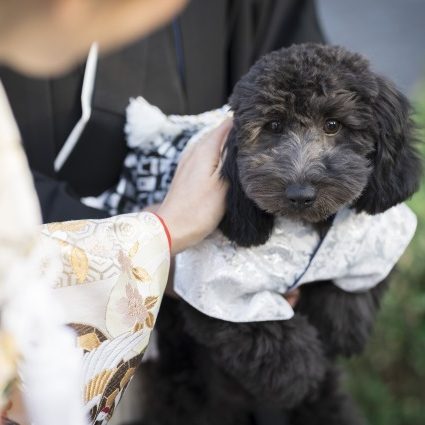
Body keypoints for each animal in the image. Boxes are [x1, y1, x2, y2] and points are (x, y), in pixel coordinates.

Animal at [121, 43, 421, 425]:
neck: (304, 226)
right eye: (273, 126)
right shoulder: (216, 288)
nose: (300, 193)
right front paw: (304, 372)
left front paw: (342, 328)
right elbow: (264, 332)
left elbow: (355, 279)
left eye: (333, 124)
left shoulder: (370, 237)